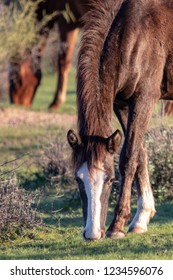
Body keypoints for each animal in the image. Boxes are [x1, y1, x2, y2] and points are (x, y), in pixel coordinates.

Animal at [67, 0, 173, 241]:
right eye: (78, 179)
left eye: (110, 180)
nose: (92, 233)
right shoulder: (122, 104)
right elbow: (140, 153)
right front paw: (141, 217)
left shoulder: (144, 99)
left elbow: (128, 156)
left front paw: (117, 225)